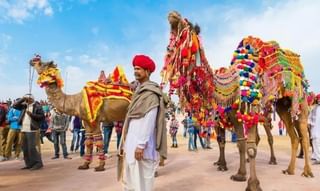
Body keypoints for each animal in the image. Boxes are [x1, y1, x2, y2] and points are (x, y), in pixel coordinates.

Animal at [161, 11, 312, 191]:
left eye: (186, 27)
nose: (172, 15)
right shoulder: (233, 115)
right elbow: (239, 143)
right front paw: (238, 173)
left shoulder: (250, 107)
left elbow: (250, 147)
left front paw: (253, 184)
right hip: (282, 106)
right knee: (294, 136)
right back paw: (289, 169)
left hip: (297, 98)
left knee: (301, 134)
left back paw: (305, 171)